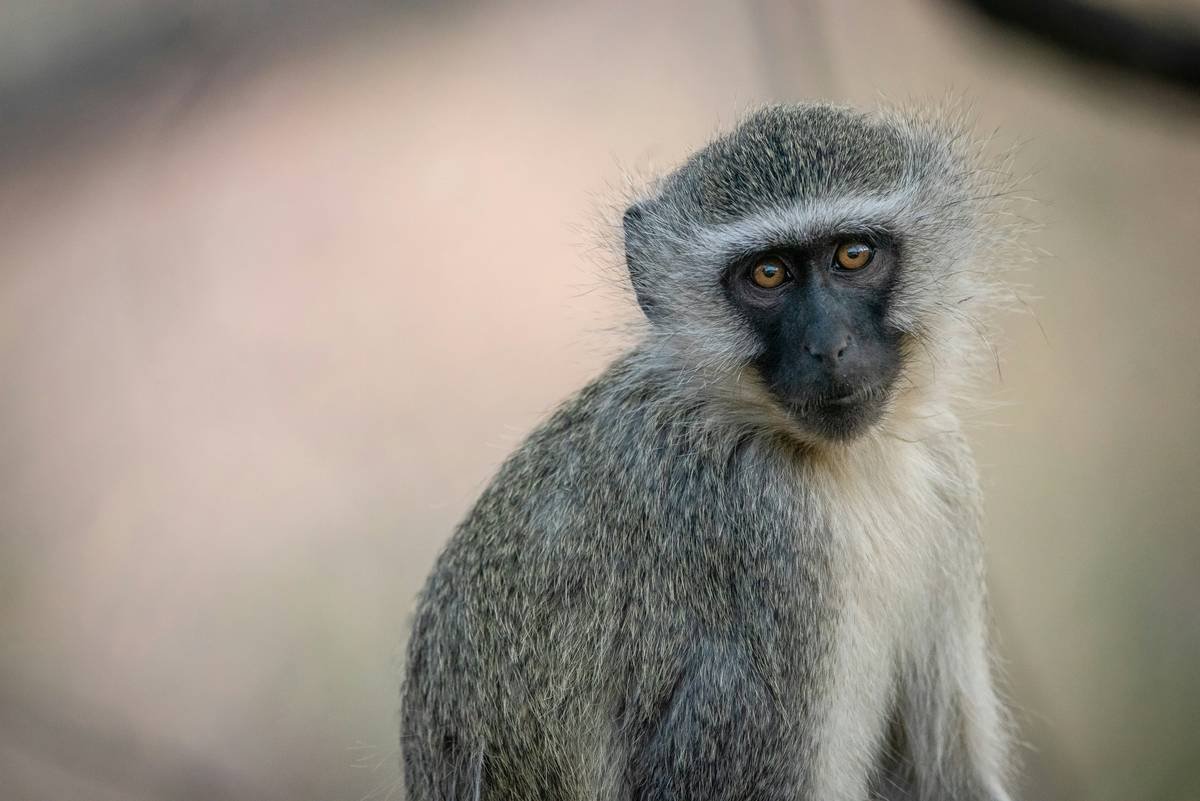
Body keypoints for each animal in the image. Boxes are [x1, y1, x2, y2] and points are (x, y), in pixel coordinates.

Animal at [401, 102, 1025, 801]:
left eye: (853, 254)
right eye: (768, 273)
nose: (828, 345)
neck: (842, 463)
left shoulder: (945, 473)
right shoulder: (770, 544)